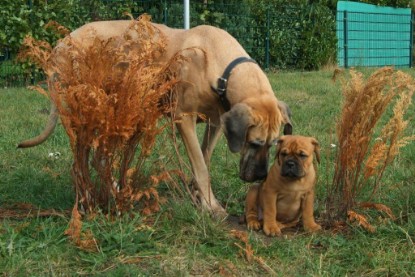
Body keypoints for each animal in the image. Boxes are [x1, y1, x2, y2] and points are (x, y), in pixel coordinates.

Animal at [17, 20, 290, 217]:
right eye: (253, 143)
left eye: (273, 144)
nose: (260, 177)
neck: (221, 67)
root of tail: (60, 44)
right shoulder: (184, 118)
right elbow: (201, 166)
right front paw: (210, 206)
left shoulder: (216, 122)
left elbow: (204, 159)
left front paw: (201, 197)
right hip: (87, 113)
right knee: (80, 164)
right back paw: (87, 204)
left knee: (99, 160)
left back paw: (114, 192)